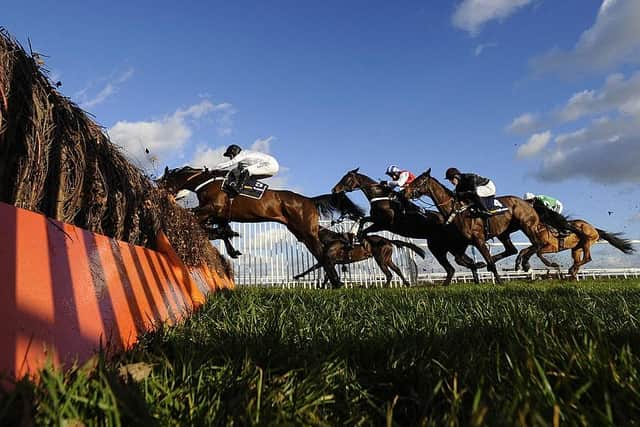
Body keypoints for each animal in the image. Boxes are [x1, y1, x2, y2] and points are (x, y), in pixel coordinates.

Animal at [156, 166, 364, 290]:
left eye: (162, 181)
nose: (157, 189)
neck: (205, 181)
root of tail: (310, 200)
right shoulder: (215, 214)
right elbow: (219, 230)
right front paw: (231, 245)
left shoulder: (212, 208)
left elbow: (197, 218)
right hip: (302, 232)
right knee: (325, 248)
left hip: (307, 232)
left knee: (322, 254)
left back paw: (337, 282)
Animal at [294, 227, 424, 288]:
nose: (299, 238)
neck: (330, 239)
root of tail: (388, 240)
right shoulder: (331, 261)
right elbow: (323, 272)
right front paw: (322, 286)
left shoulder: (329, 259)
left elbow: (315, 268)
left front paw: (297, 276)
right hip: (388, 259)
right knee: (397, 270)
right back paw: (407, 283)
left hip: (381, 259)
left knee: (389, 274)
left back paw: (384, 287)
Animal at [330, 169, 484, 286]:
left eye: (346, 179)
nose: (334, 189)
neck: (381, 197)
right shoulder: (375, 219)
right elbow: (362, 220)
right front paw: (355, 235)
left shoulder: (383, 223)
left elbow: (366, 229)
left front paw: (360, 239)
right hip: (442, 246)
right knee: (463, 261)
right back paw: (477, 276)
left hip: (445, 246)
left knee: (458, 263)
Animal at [404, 170, 552, 284]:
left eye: (418, 181)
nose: (404, 193)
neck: (458, 211)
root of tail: (528, 203)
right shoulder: (464, 242)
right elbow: (460, 259)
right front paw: (481, 265)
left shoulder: (478, 239)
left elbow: (487, 261)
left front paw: (499, 281)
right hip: (503, 233)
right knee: (512, 249)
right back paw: (517, 261)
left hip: (526, 225)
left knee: (538, 244)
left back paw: (524, 262)